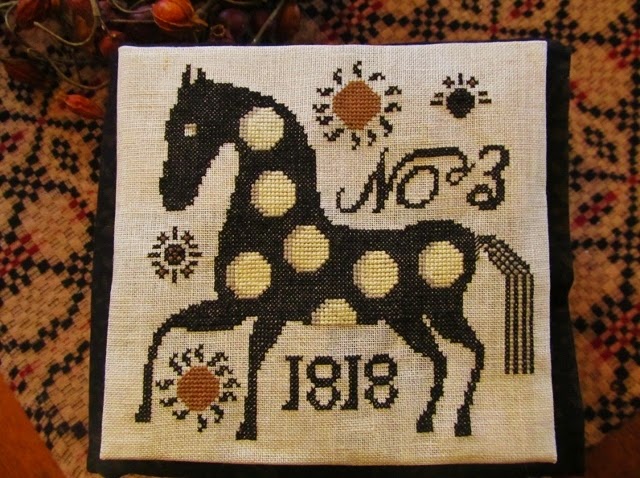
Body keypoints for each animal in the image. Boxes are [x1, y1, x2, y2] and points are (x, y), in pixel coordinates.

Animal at [135, 65, 534, 440]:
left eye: (188, 127)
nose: (172, 198)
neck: (278, 220)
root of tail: (473, 237)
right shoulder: (239, 308)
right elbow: (166, 329)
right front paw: (145, 412)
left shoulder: (260, 310)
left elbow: (244, 356)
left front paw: (245, 429)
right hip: (410, 318)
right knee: (442, 359)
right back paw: (426, 422)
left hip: (443, 310)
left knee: (476, 351)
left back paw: (461, 423)